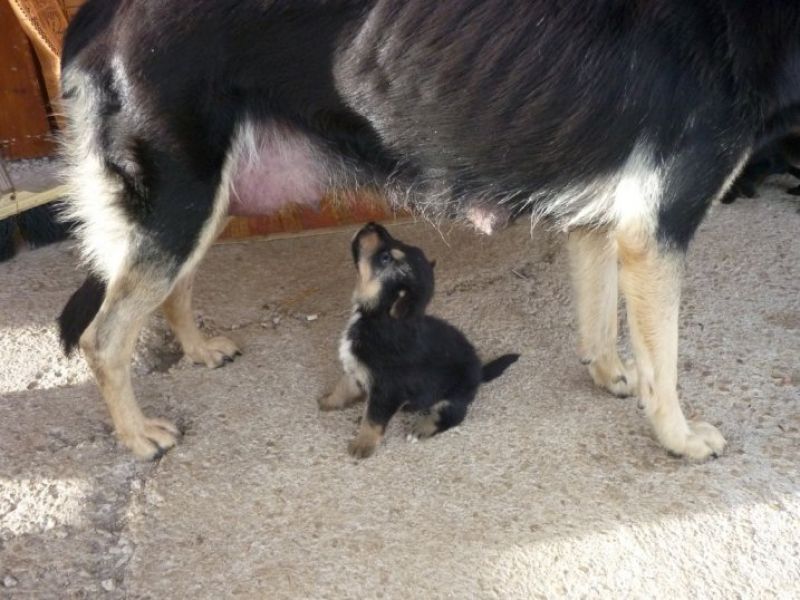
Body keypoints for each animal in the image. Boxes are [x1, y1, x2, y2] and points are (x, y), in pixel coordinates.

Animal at [318, 223, 520, 458]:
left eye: (386, 257)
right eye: (398, 241)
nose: (373, 225)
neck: (378, 316)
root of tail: (480, 372)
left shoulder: (386, 389)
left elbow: (373, 419)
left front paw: (362, 445)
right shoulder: (355, 368)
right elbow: (343, 387)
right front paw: (327, 401)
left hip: (453, 396)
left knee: (453, 416)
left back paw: (421, 428)